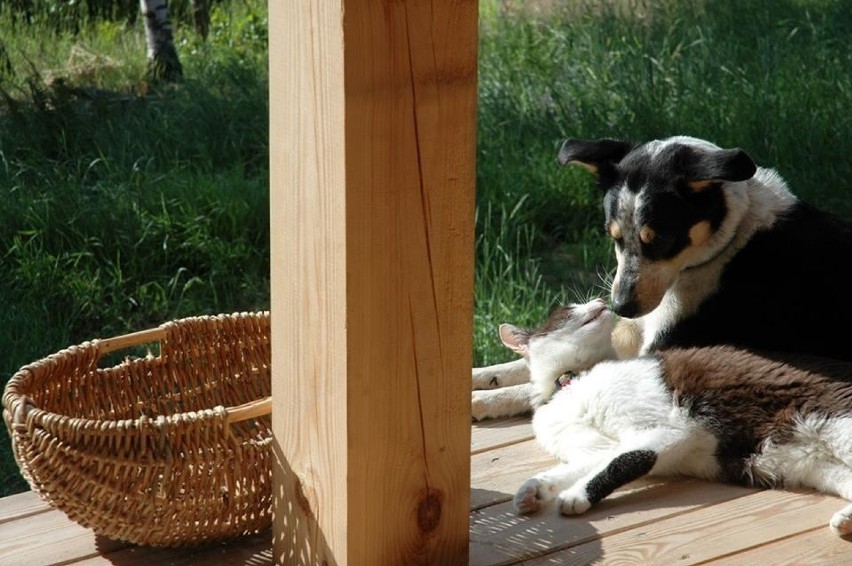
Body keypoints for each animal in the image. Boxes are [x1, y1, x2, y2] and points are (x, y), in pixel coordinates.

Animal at [472, 136, 852, 422]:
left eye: (661, 240)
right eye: (613, 236)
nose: (620, 307)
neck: (729, 242)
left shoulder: (658, 351)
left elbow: (541, 386)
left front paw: (484, 401)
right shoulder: (631, 333)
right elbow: (525, 363)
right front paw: (482, 377)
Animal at [500, 300, 852, 540]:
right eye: (567, 310)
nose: (600, 300)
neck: (571, 382)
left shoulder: (670, 430)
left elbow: (624, 461)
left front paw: (575, 497)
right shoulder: (596, 448)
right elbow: (578, 466)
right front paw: (532, 491)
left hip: (835, 424)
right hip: (817, 466)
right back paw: (845, 521)